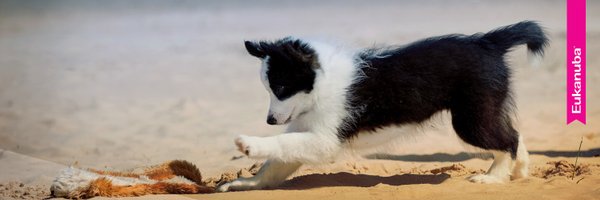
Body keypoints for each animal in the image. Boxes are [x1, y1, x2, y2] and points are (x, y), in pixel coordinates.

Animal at [219, 21, 548, 191]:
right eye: (269, 90)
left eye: (281, 88)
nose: (270, 121)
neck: (321, 82)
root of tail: (488, 42)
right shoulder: (306, 128)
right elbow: (278, 159)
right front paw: (247, 182)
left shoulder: (325, 140)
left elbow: (282, 144)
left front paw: (249, 144)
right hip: (485, 109)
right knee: (513, 135)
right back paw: (519, 172)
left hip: (470, 118)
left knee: (506, 140)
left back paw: (493, 177)